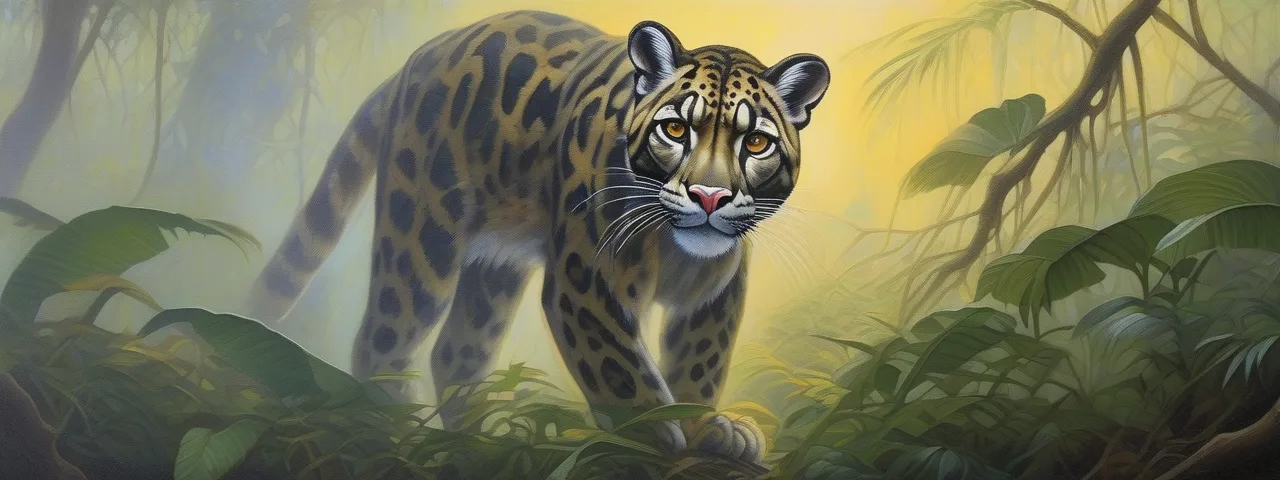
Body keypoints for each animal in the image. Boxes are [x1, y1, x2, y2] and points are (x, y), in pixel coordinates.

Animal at [241, 10, 829, 463]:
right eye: (676, 129)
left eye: (755, 142)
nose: (710, 196)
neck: (673, 250)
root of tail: (417, 59)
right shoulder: (583, 286)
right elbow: (620, 368)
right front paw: (653, 431)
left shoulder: (714, 294)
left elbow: (700, 363)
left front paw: (707, 427)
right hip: (421, 241)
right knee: (382, 341)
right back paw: (398, 432)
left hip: (495, 269)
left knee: (458, 352)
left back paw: (479, 442)